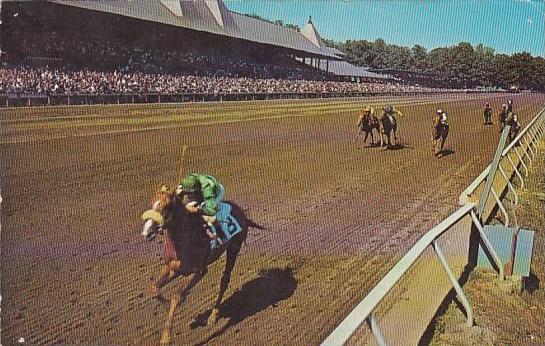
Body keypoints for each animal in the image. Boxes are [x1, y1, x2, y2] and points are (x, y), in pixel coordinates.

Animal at [141, 188, 264, 344]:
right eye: (151, 203)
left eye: (166, 207)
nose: (147, 232)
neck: (183, 239)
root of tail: (241, 211)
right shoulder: (172, 268)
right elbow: (153, 289)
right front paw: (166, 303)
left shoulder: (199, 271)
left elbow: (176, 296)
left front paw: (165, 338)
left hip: (234, 248)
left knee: (224, 281)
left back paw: (213, 316)